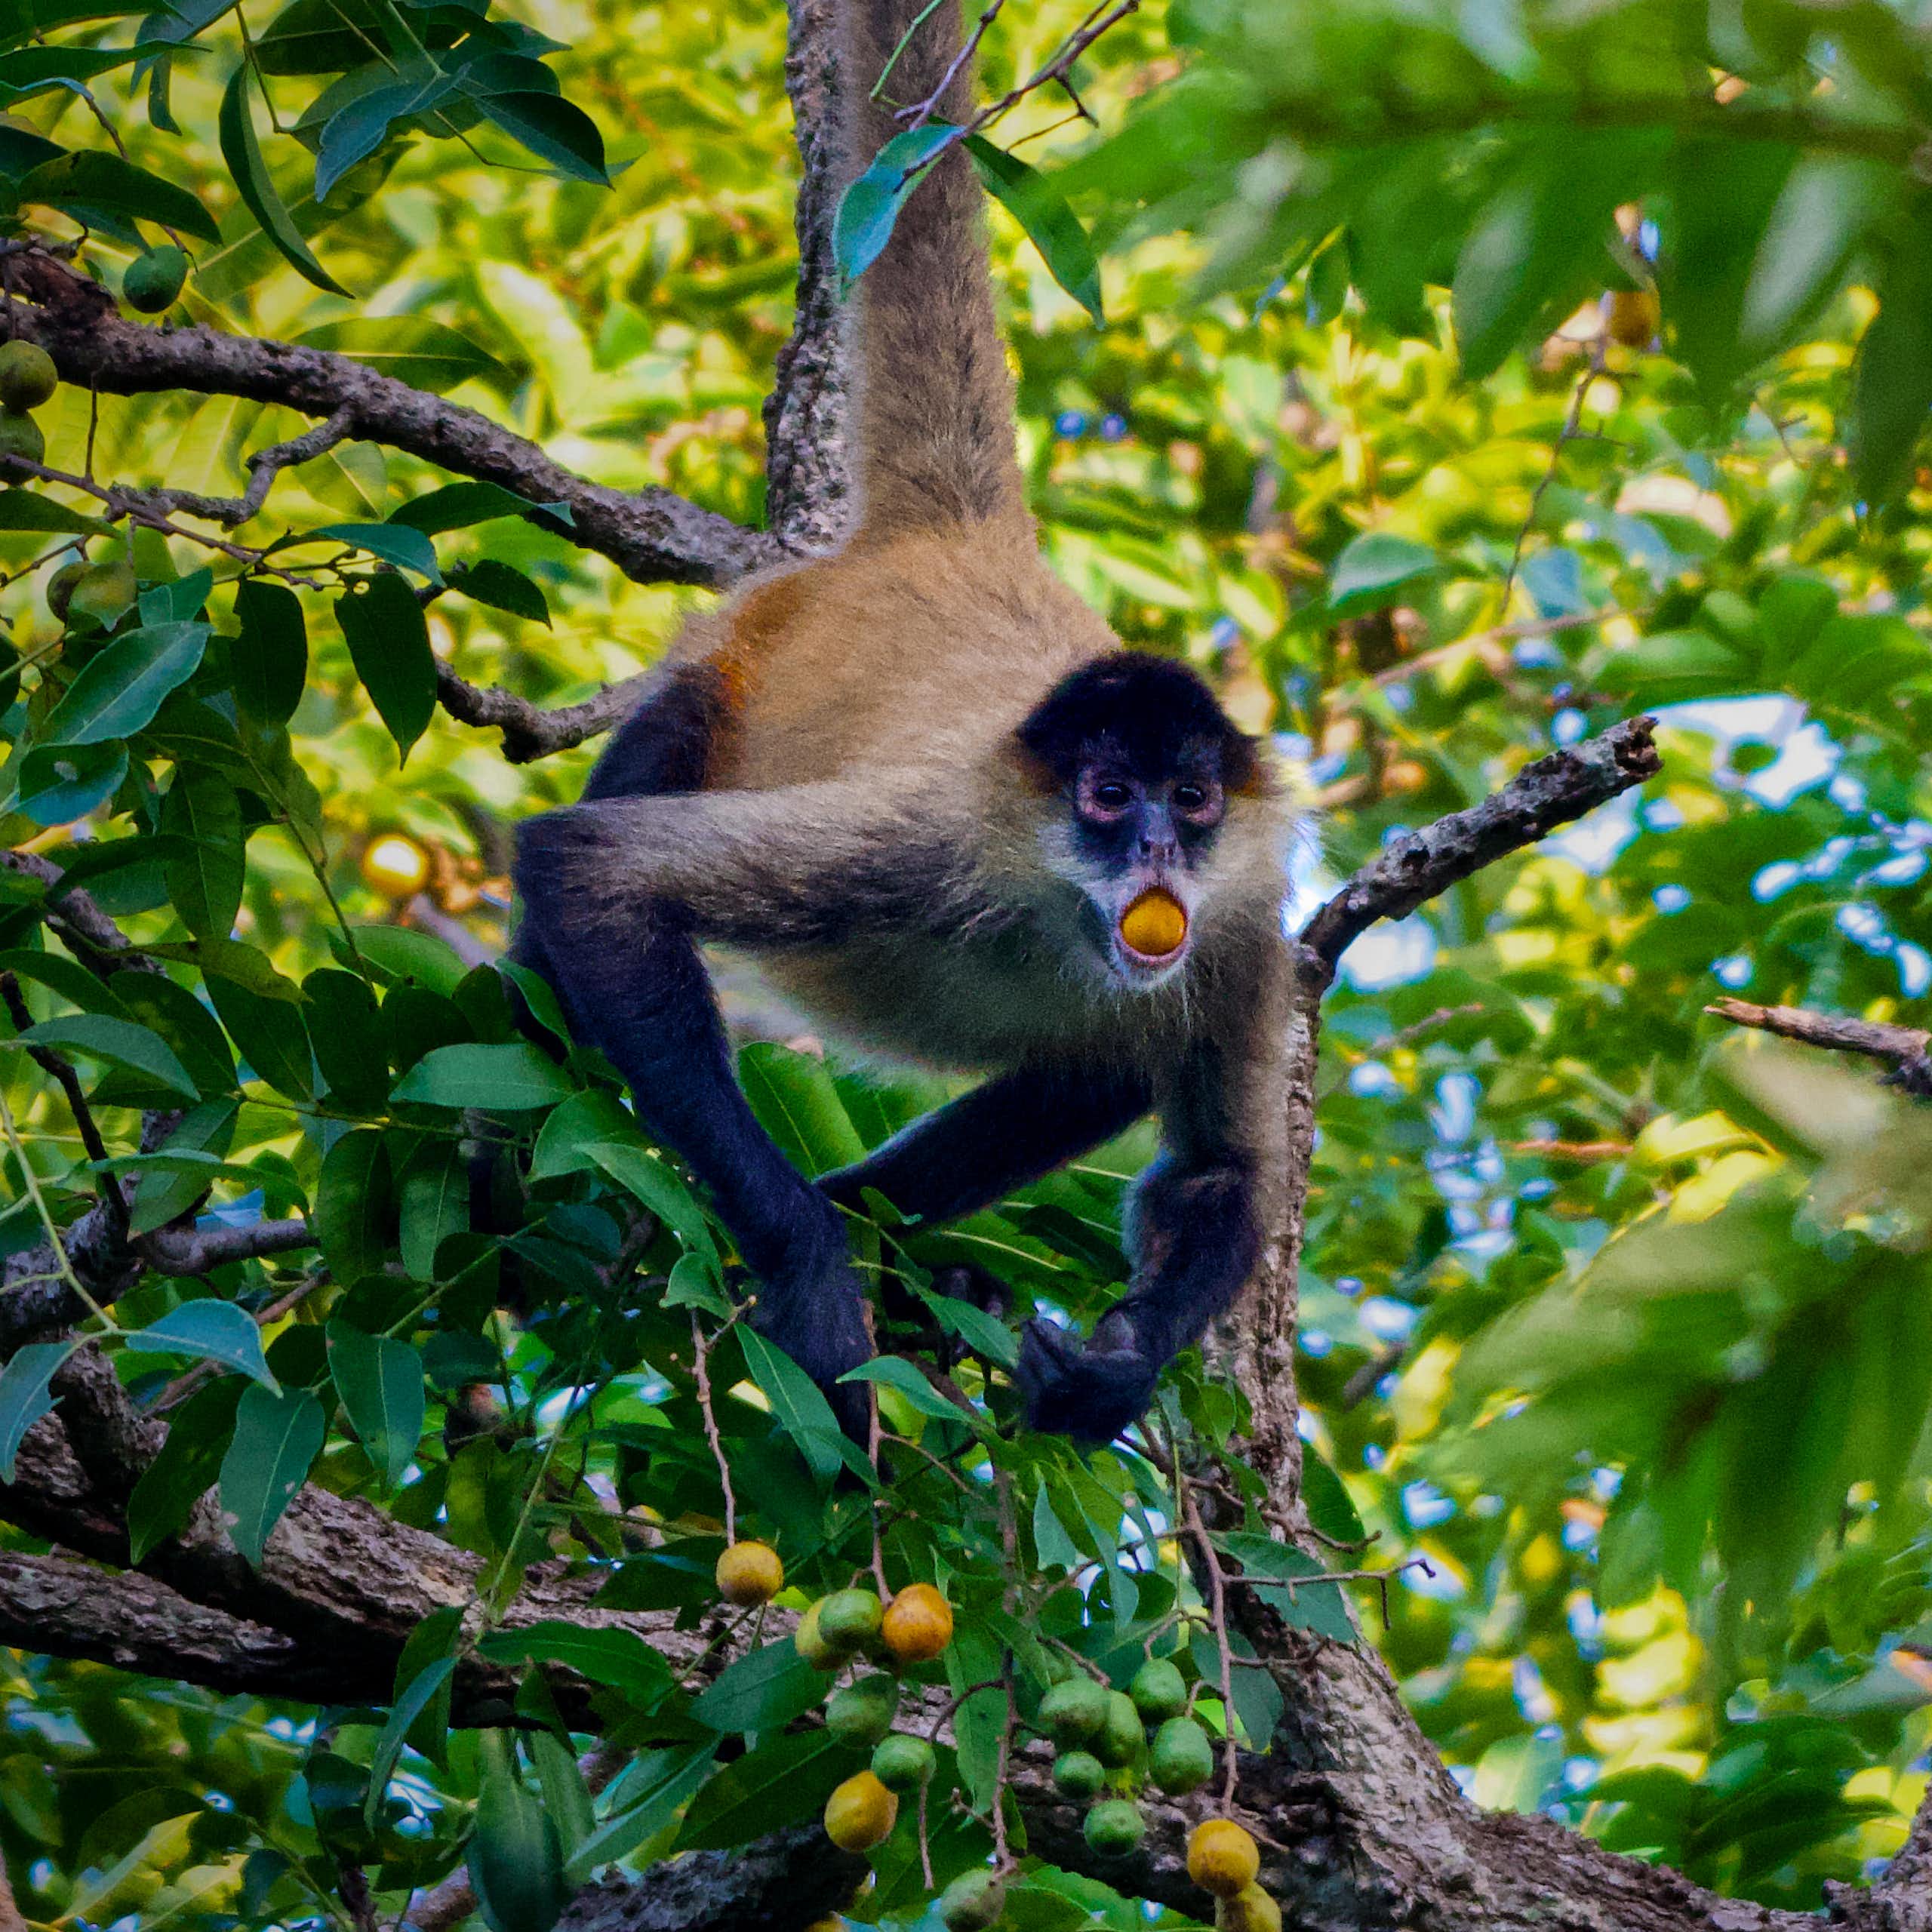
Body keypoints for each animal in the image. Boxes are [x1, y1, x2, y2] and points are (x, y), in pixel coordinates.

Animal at [510, 0, 1299, 1446]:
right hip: (728, 671)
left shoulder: (1239, 922)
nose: (1160, 850)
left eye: (1195, 799)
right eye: (1109, 797)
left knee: (1105, 1062)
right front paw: (811, 1262)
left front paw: (1112, 1369)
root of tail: (955, 540)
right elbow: (590, 876)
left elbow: (1217, 1173)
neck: (1058, 908)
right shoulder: (927, 835)